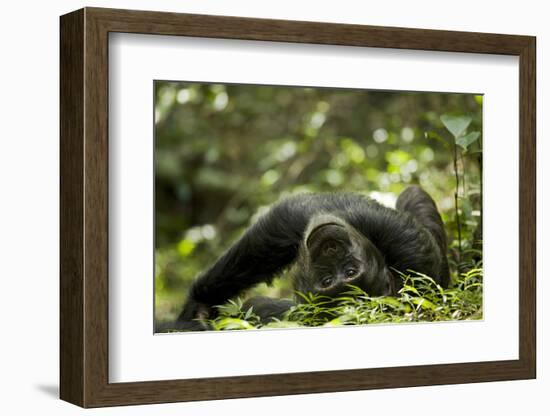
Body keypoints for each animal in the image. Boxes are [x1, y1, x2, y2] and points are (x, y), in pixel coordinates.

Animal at [175, 186, 450, 332]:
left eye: (350, 271)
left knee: (413, 194)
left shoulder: (409, 251)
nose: (330, 250)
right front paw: (198, 307)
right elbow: (282, 225)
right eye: (327, 280)